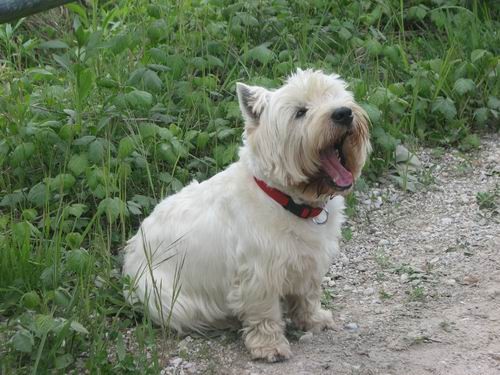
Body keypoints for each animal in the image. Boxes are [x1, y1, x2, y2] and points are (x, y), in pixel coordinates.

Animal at [122, 69, 370, 362]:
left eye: (336, 97)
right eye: (300, 112)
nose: (343, 113)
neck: (286, 199)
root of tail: (130, 251)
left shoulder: (308, 261)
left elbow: (307, 295)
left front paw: (314, 319)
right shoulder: (259, 274)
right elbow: (264, 313)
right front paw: (269, 346)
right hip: (164, 295)